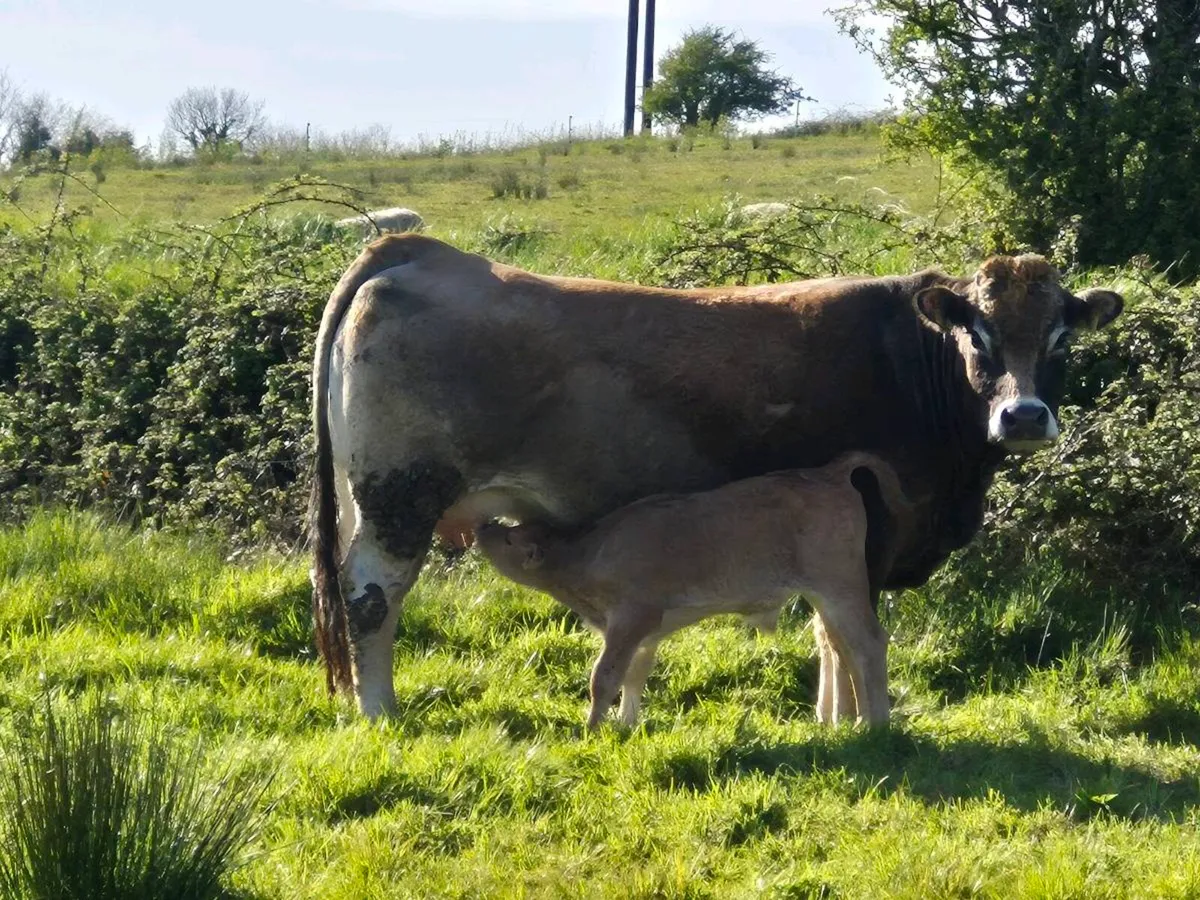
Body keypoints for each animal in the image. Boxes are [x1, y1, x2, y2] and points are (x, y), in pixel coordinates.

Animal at [475, 452, 911, 729]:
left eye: (510, 540)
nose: (483, 526)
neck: (588, 553)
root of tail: (829, 473)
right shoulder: (645, 632)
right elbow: (635, 675)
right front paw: (626, 725)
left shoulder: (631, 618)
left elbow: (605, 676)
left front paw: (591, 729)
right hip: (826, 595)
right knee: (839, 644)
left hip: (841, 588)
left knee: (868, 643)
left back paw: (876, 725)